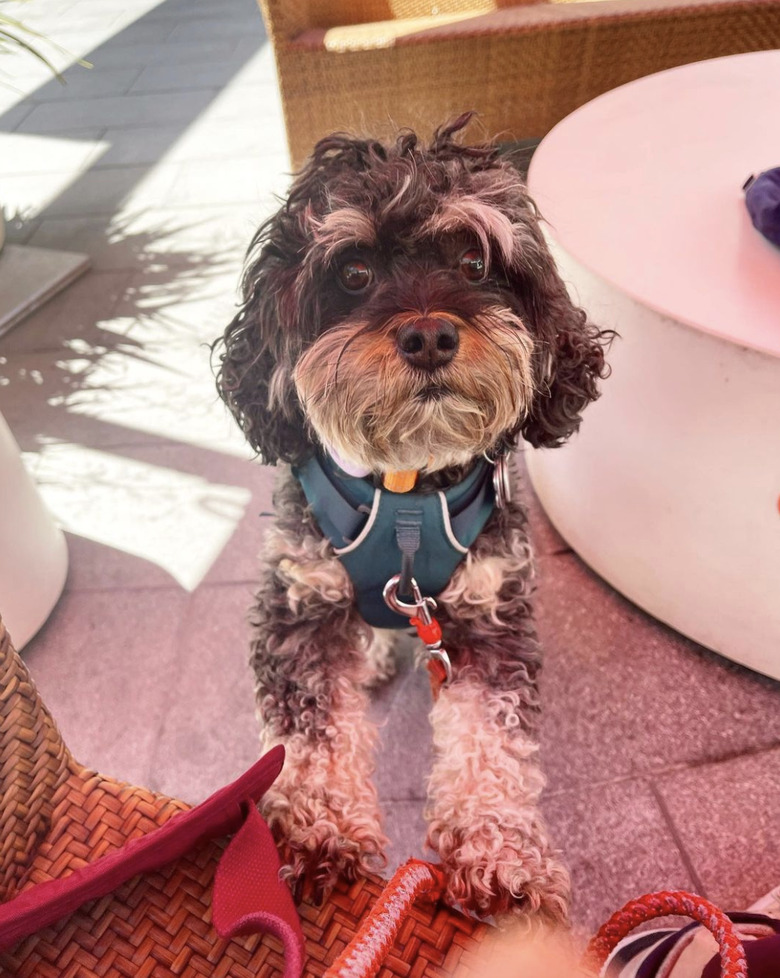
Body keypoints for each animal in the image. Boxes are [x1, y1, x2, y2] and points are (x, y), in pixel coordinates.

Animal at [212, 114, 608, 924]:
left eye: (476, 262)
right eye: (355, 273)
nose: (429, 335)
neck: (404, 490)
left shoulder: (489, 617)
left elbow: (491, 742)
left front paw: (500, 856)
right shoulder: (300, 608)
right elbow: (309, 740)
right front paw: (315, 836)